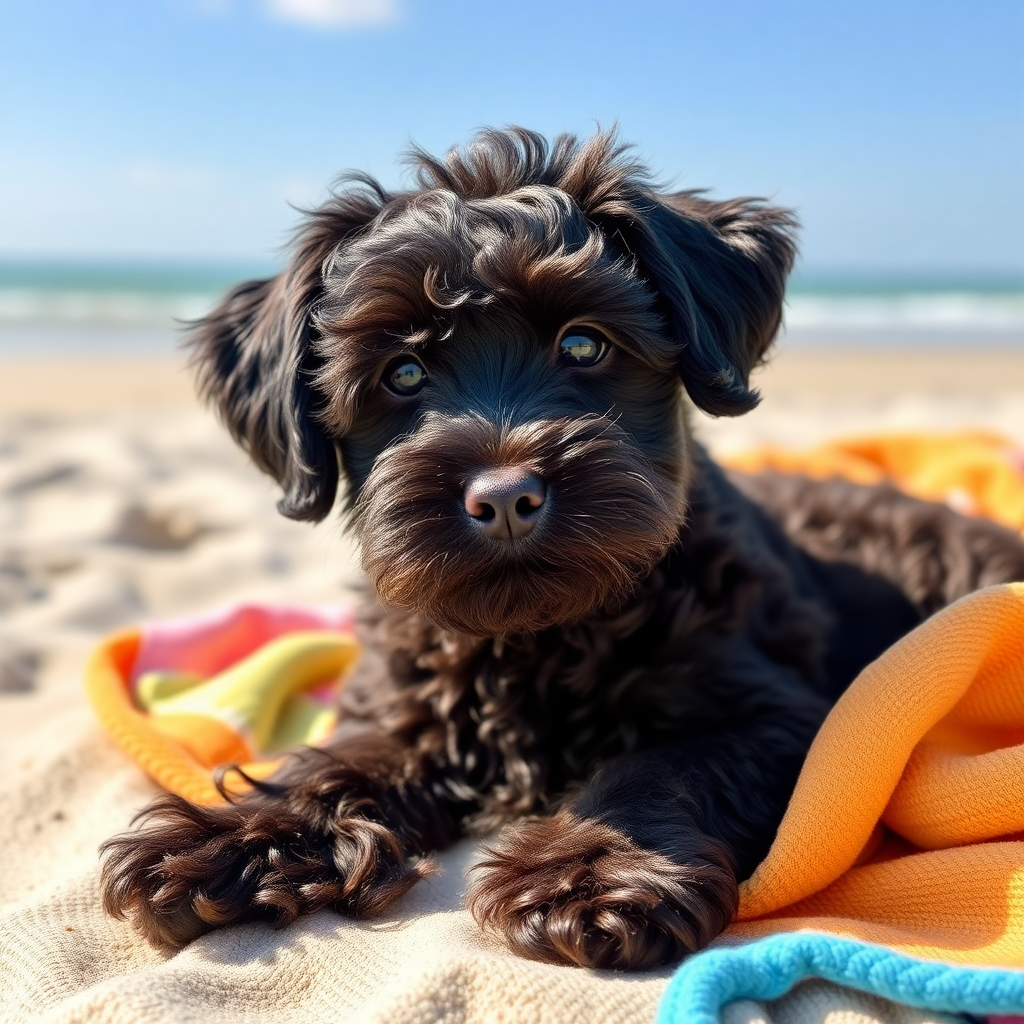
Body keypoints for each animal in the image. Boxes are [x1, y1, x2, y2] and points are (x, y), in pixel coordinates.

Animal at [97, 128, 1024, 966]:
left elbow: (658, 763)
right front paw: (233, 838)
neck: (538, 636)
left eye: (583, 343)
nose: (505, 498)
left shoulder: (782, 714)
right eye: (402, 373)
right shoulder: (406, 706)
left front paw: (589, 871)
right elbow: (337, 762)